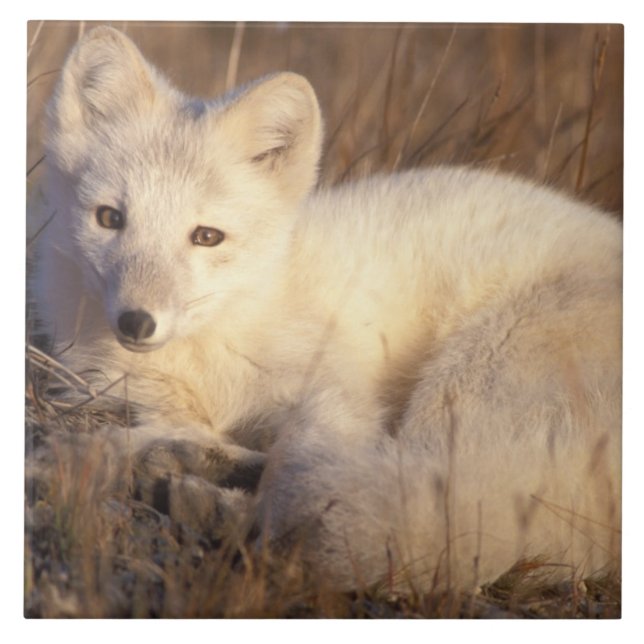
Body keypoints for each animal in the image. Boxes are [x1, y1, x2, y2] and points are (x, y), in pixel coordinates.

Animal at [33, 26, 622, 593]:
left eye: (207, 236)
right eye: (110, 218)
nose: (137, 322)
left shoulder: (335, 396)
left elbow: (297, 461)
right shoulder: (154, 402)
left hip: (467, 384)